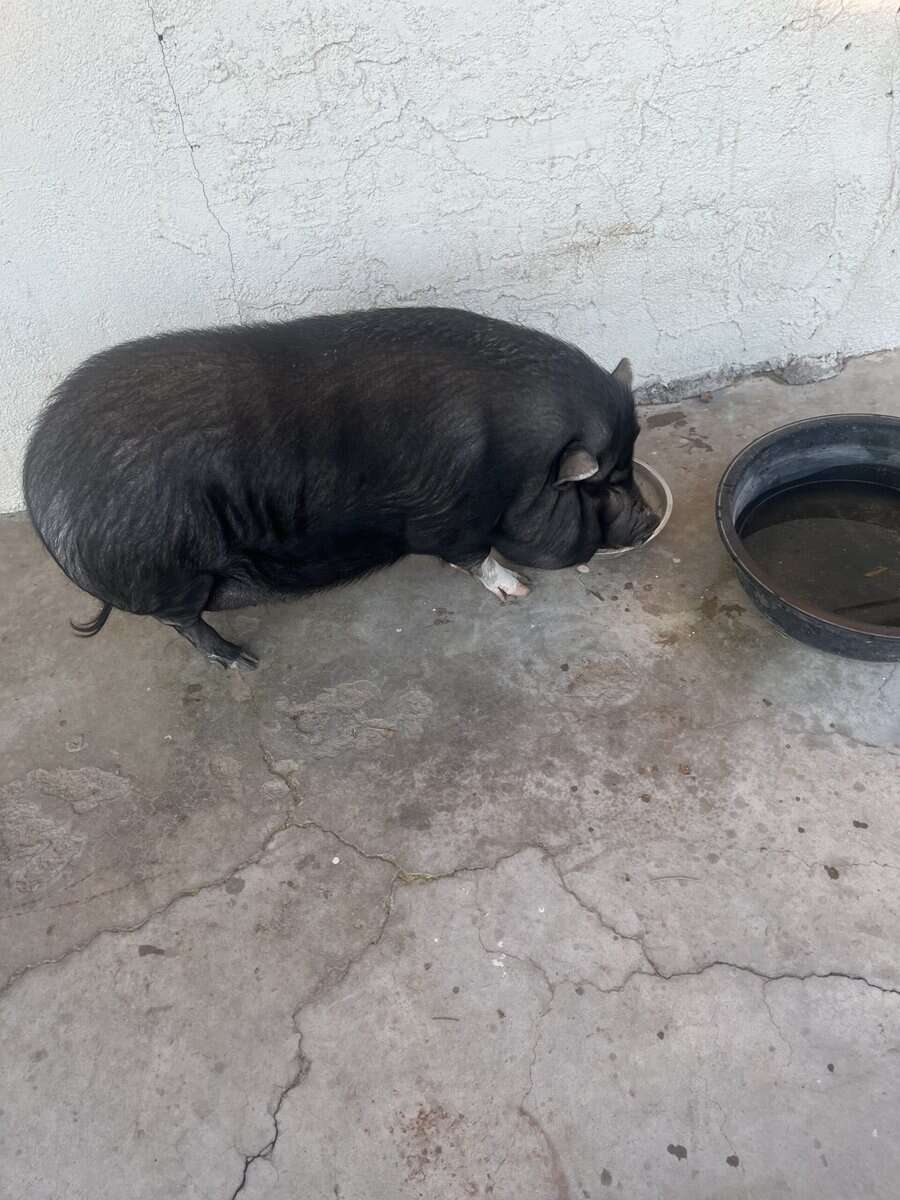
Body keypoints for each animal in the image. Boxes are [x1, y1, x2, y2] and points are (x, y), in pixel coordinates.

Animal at [23, 307, 658, 669]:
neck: (512, 463)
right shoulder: (452, 518)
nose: (650, 520)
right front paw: (519, 589)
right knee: (181, 621)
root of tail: (42, 487)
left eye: (631, 466)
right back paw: (242, 661)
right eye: (602, 485)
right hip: (173, 576)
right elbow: (476, 558)